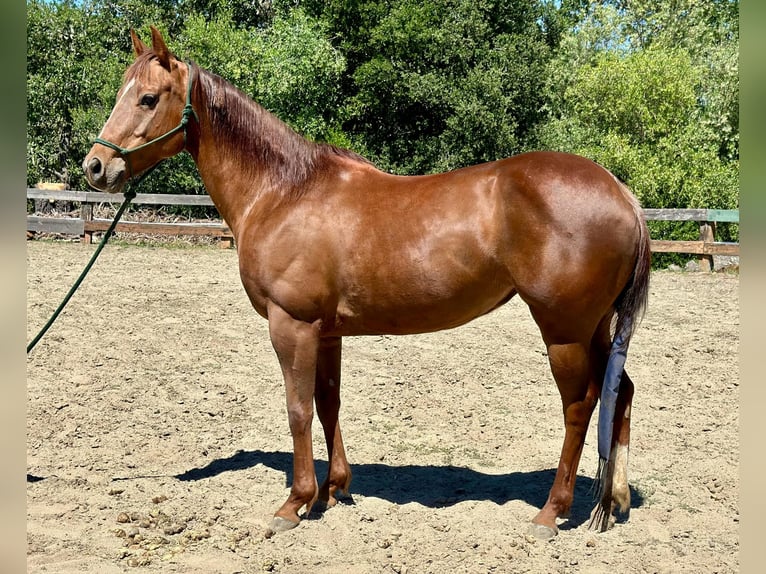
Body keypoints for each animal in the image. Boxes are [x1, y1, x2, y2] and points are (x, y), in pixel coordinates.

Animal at [82, 27, 648, 540]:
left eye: (149, 97)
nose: (95, 166)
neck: (284, 191)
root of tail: (621, 192)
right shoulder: (326, 331)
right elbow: (327, 403)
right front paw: (334, 489)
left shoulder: (292, 325)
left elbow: (298, 408)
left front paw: (295, 502)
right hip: (596, 328)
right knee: (620, 393)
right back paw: (615, 500)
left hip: (564, 331)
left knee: (579, 407)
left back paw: (551, 513)